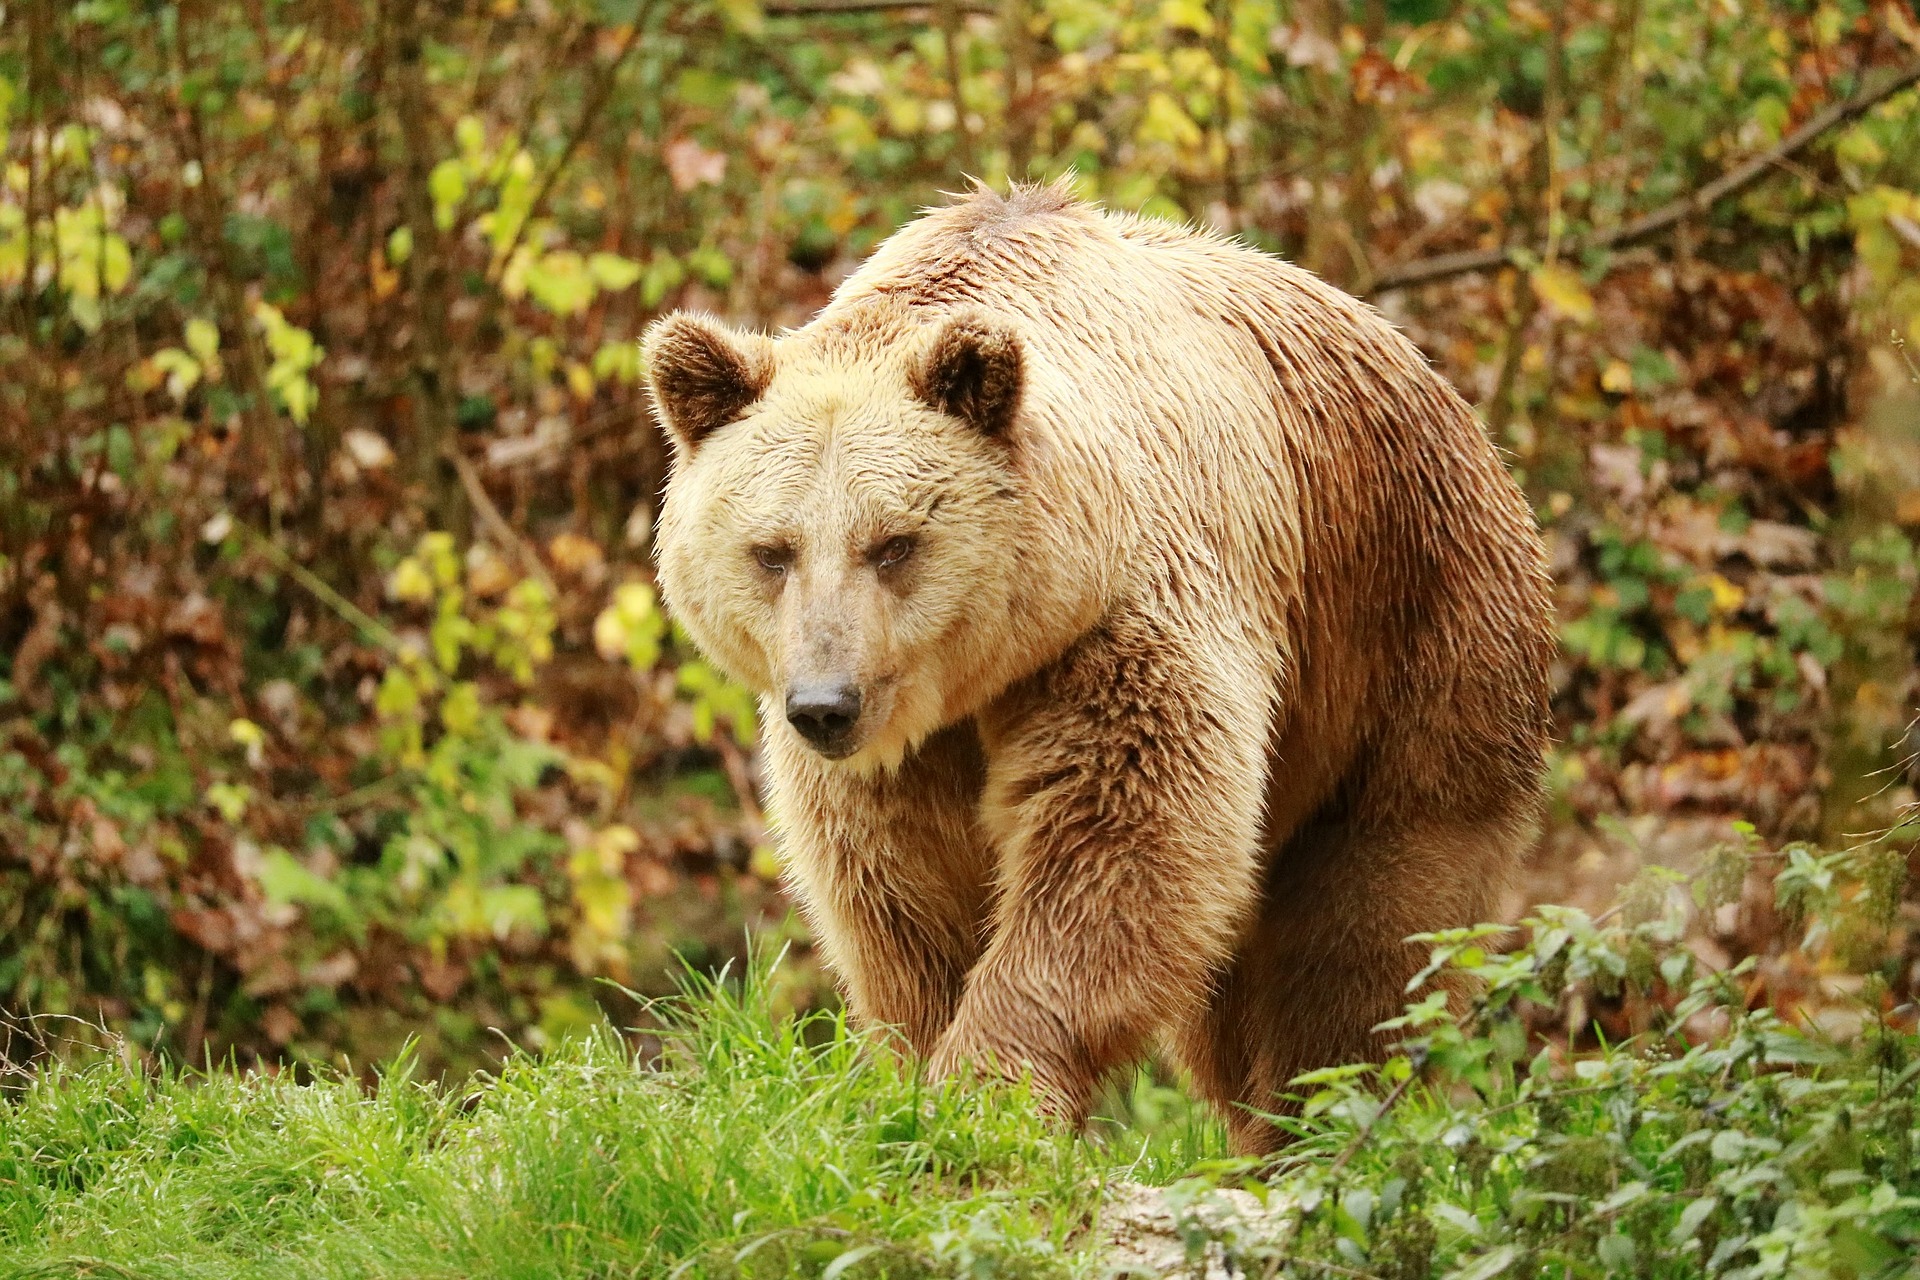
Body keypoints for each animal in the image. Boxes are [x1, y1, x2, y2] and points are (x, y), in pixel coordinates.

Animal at [652, 185, 1551, 1159]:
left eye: (893, 543)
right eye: (771, 551)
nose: (826, 705)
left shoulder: (1120, 621)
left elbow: (1123, 842)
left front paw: (990, 1092)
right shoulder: (906, 750)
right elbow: (903, 890)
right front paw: (919, 1076)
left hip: (1408, 635)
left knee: (1371, 927)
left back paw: (1322, 1123)